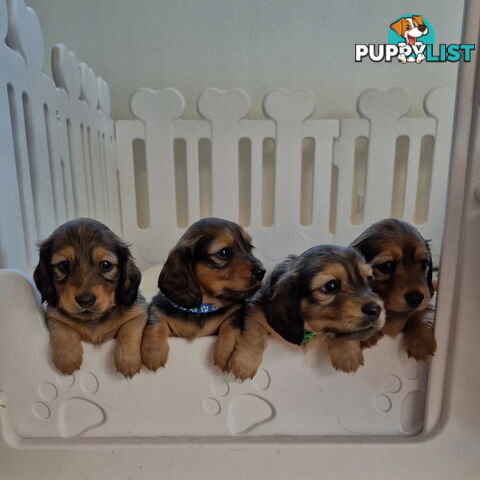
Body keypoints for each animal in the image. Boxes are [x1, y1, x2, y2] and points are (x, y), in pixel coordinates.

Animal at [34, 218, 147, 378]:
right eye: (63, 265)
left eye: (106, 265)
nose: (85, 300)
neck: (93, 320)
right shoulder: (53, 314)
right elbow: (62, 328)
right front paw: (67, 358)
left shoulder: (139, 310)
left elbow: (130, 329)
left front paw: (128, 360)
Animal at [141, 218, 264, 372]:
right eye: (224, 252)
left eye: (250, 247)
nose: (262, 272)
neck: (202, 307)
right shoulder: (158, 308)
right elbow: (155, 322)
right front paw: (153, 352)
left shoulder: (235, 312)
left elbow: (231, 324)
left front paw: (227, 351)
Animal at [219, 246, 384, 380]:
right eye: (330, 286)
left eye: (369, 279)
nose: (376, 309)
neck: (307, 327)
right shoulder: (255, 309)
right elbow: (255, 336)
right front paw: (244, 363)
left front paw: (347, 353)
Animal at [350, 218, 436, 360]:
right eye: (387, 266)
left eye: (424, 264)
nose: (416, 298)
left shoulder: (426, 303)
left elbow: (421, 313)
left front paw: (421, 341)